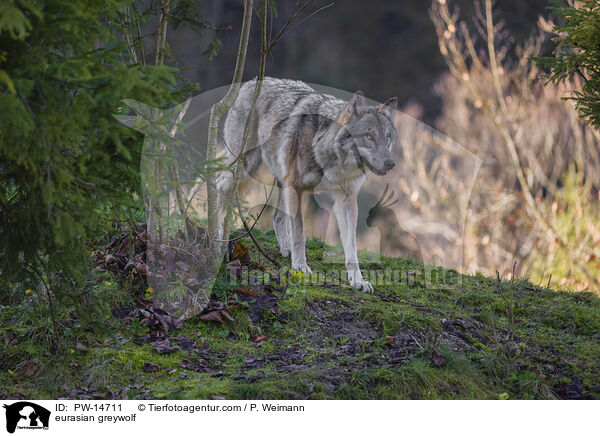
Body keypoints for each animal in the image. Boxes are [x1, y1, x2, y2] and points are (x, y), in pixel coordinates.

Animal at [217, 77, 398, 292]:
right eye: (369, 137)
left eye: (387, 138)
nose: (391, 163)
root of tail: (253, 81)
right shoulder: (296, 188)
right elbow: (299, 233)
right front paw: (300, 266)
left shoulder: (346, 201)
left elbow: (352, 248)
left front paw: (358, 281)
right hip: (244, 169)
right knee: (218, 186)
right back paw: (218, 233)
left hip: (279, 180)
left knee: (277, 217)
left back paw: (284, 248)